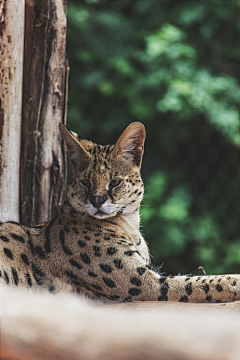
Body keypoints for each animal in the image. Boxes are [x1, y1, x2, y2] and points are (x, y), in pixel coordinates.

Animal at [0, 122, 240, 302]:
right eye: (85, 182)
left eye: (115, 182)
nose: (97, 200)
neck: (129, 224)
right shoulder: (143, 282)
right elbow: (196, 283)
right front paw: (234, 280)